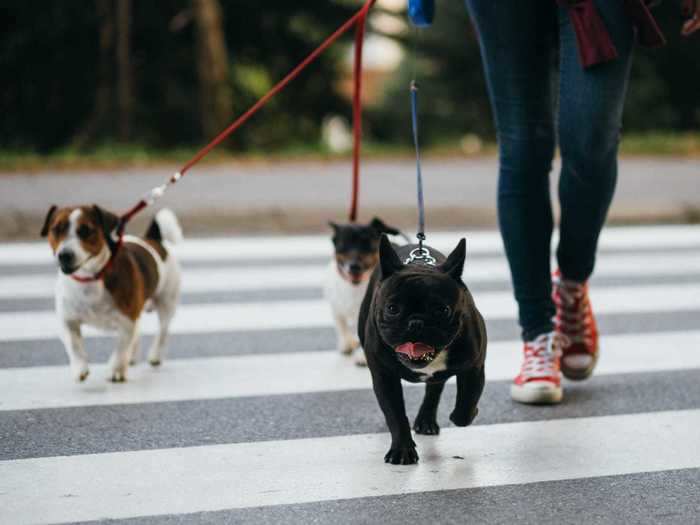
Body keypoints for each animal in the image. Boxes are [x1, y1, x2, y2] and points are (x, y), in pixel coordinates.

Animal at [40, 204, 183, 380]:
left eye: (85, 230)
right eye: (56, 229)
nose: (64, 255)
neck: (90, 278)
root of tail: (152, 238)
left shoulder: (127, 320)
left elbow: (121, 348)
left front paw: (116, 370)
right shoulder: (68, 320)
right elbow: (74, 345)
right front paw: (80, 368)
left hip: (166, 302)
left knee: (163, 330)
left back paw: (155, 355)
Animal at [358, 236, 484, 462]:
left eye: (443, 310)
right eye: (392, 309)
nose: (416, 322)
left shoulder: (475, 367)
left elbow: (467, 402)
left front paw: (465, 414)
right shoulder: (384, 377)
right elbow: (395, 414)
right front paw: (402, 450)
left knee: (435, 388)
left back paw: (426, 420)